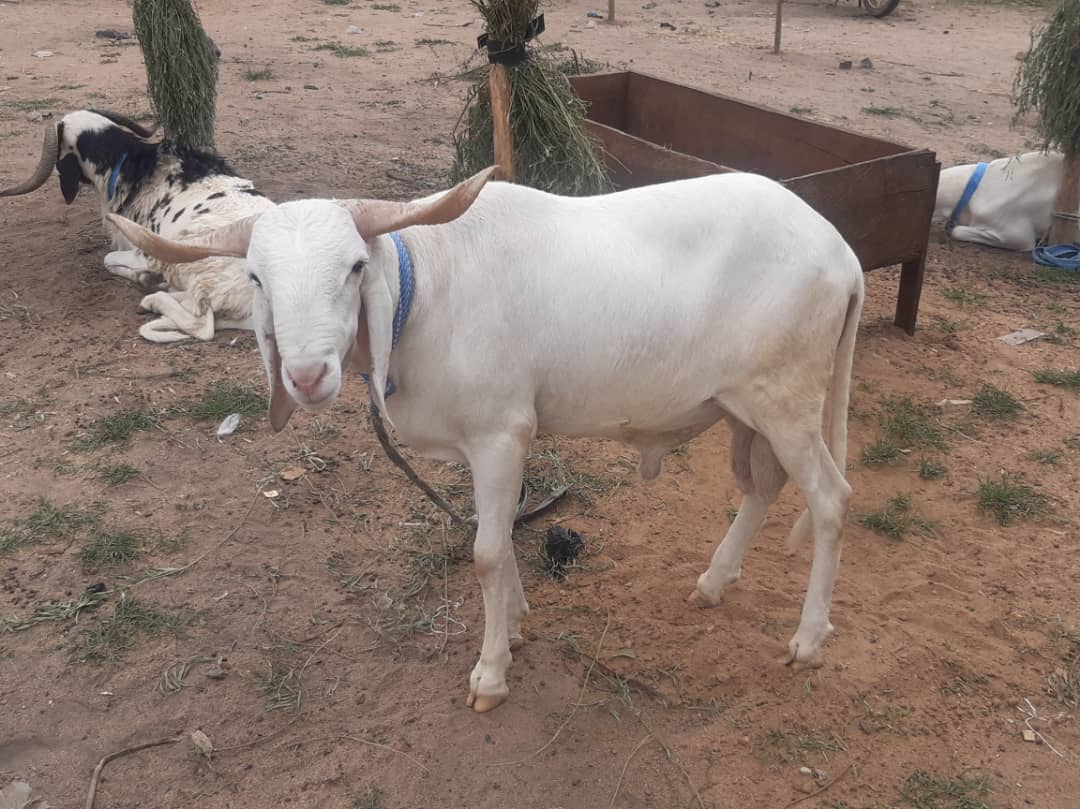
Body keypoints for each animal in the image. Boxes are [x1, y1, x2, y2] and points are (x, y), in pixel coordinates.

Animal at [0, 110, 274, 342]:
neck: (131, 164)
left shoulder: (145, 251)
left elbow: (108, 259)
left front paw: (144, 277)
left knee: (203, 324)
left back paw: (154, 299)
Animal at [108, 167, 865, 713]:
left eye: (355, 267)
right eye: (257, 277)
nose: (306, 375)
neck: (423, 290)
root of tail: (844, 254)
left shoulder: (501, 433)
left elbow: (486, 553)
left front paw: (491, 672)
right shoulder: (491, 444)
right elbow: (496, 537)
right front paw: (520, 620)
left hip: (787, 398)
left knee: (830, 500)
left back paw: (806, 639)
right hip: (745, 405)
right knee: (763, 486)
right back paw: (713, 581)